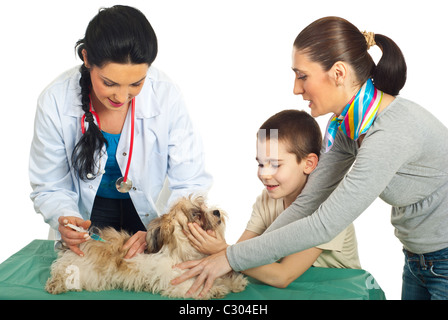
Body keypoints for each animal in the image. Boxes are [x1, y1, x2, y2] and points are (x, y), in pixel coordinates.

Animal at [44, 196, 248, 298]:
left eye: (204, 206)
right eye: (197, 214)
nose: (216, 212)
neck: (182, 252)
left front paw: (233, 282)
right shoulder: (172, 279)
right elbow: (188, 286)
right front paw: (212, 290)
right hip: (82, 269)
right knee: (61, 272)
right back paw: (56, 284)